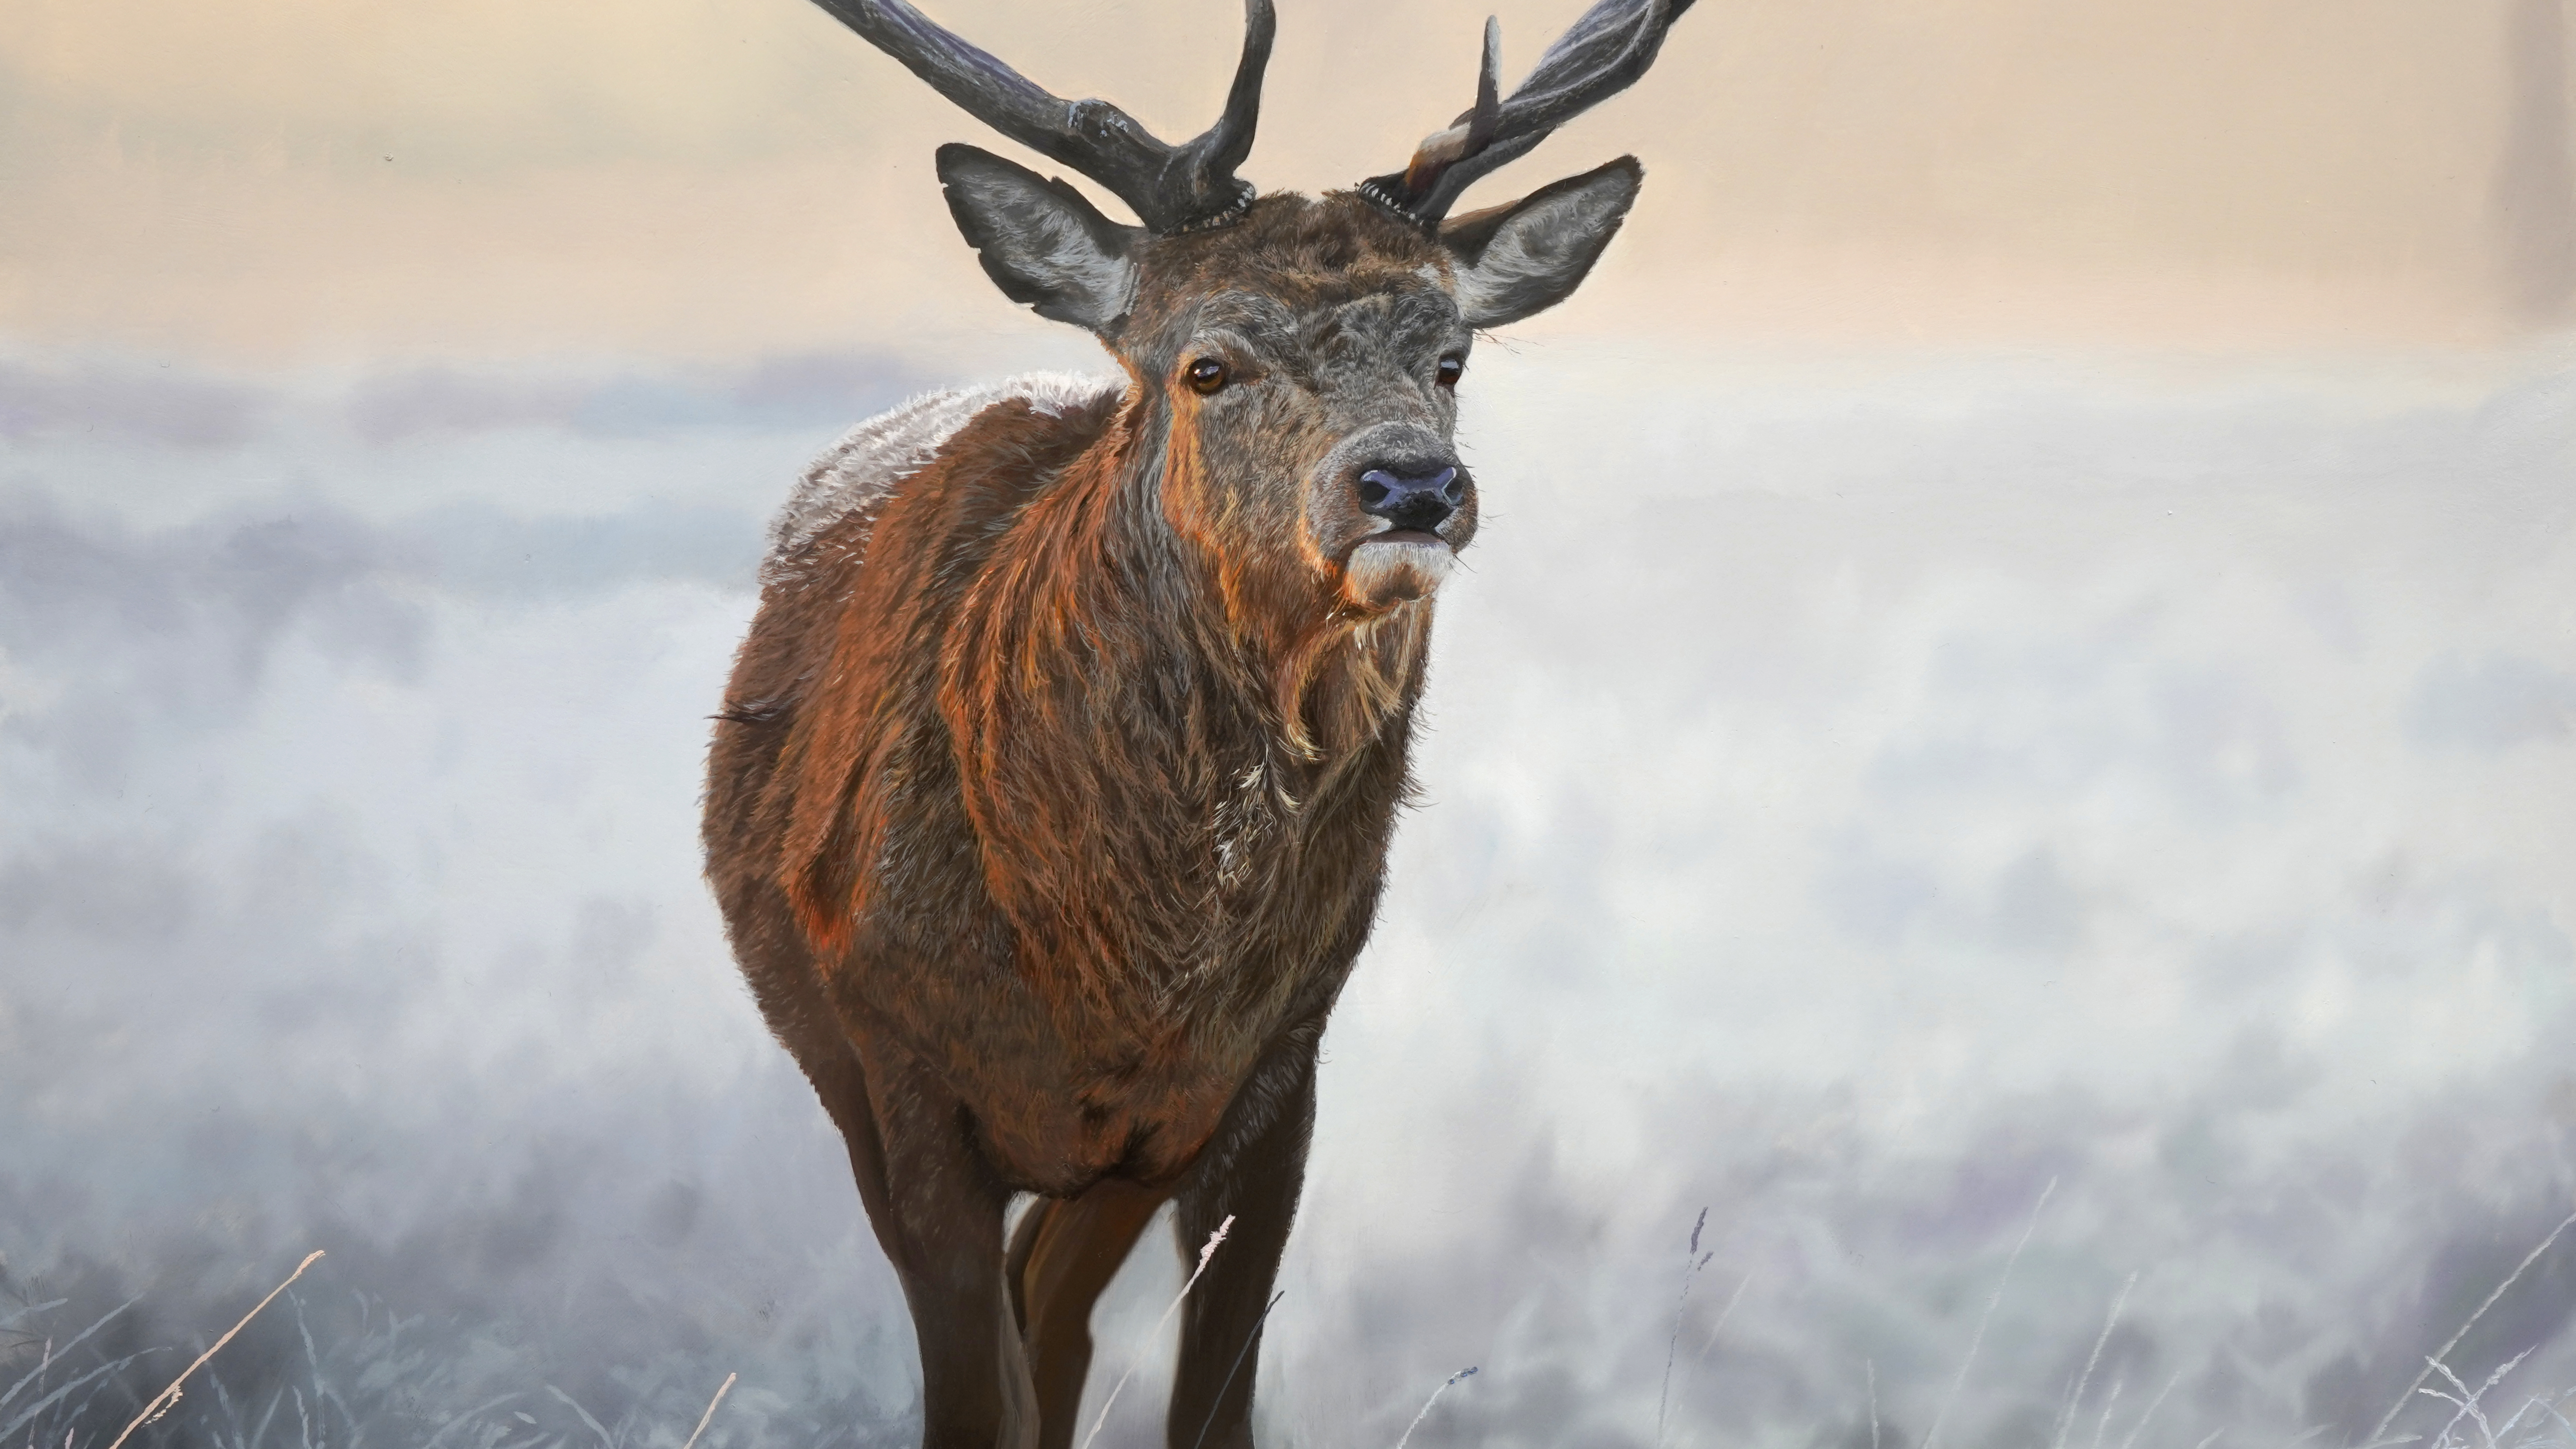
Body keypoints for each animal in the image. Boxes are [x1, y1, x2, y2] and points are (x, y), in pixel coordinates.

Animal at [700, 0, 1695, 1443]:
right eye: (1206, 364)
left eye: (1449, 357)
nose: (1411, 484)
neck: (1123, 976)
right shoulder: (899, 1081)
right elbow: (973, 1396)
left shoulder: (1269, 1073)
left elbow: (1209, 1397)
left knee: (1053, 1307)